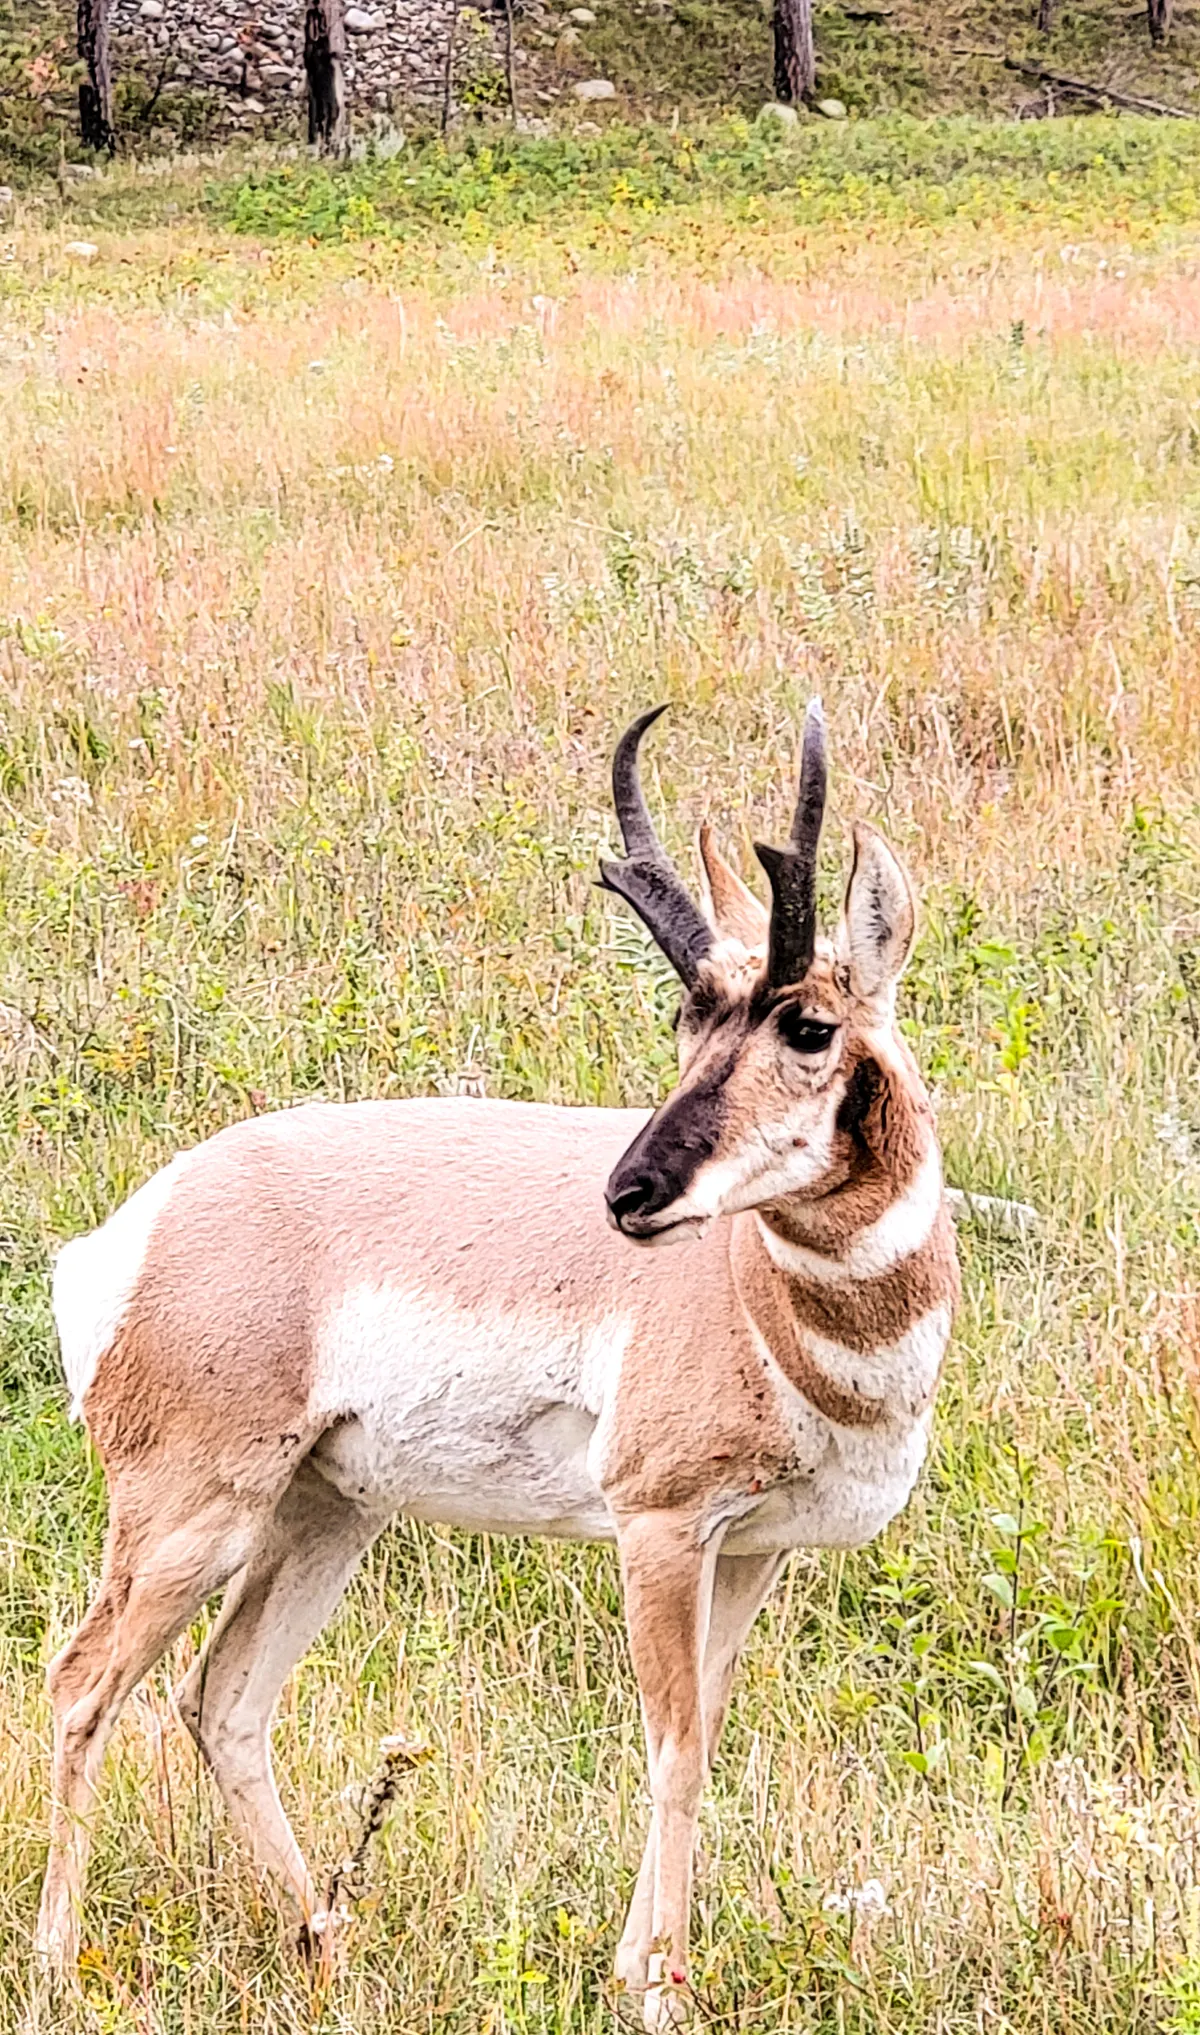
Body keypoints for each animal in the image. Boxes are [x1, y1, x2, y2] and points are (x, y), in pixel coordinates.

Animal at [37, 695, 960, 2018]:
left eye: (808, 1023)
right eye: (688, 1017)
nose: (629, 1193)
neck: (763, 1303)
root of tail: (140, 1224)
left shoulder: (754, 1552)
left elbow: (704, 1733)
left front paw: (640, 1968)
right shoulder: (660, 1529)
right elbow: (674, 1749)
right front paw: (658, 1990)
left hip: (327, 1510)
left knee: (225, 1698)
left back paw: (328, 1941)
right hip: (189, 1516)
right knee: (83, 1684)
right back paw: (60, 1965)